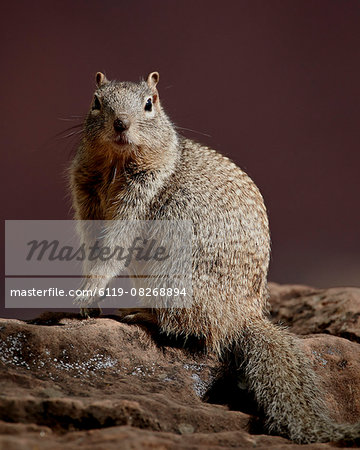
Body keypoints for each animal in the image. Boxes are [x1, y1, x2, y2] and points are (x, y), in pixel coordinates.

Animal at [70, 72, 360, 444]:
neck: (116, 165)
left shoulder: (141, 197)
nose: (121, 123)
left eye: (150, 103)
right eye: (96, 101)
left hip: (176, 276)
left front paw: (86, 293)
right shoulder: (86, 195)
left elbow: (114, 246)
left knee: (193, 328)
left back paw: (143, 314)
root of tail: (246, 317)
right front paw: (87, 301)